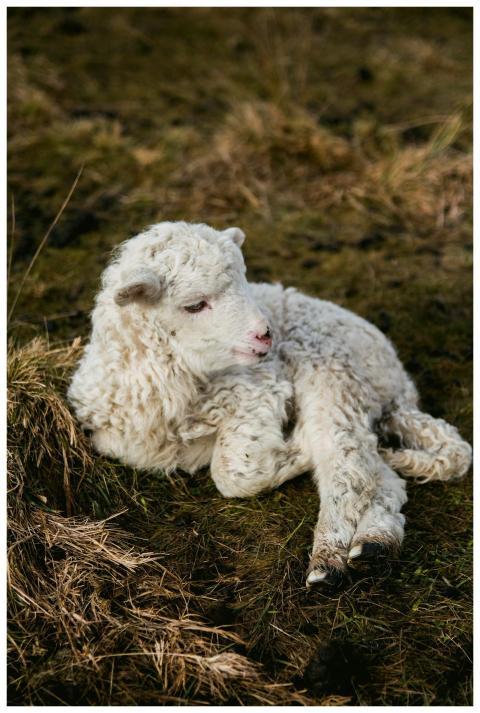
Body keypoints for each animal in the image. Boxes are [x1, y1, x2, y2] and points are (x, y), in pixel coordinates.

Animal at [68, 221, 472, 587]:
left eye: (245, 282)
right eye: (194, 305)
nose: (265, 335)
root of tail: (399, 387)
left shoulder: (259, 389)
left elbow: (233, 473)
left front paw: (297, 448)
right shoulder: (119, 440)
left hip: (334, 371)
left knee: (346, 464)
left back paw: (329, 562)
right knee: (379, 475)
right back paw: (375, 545)